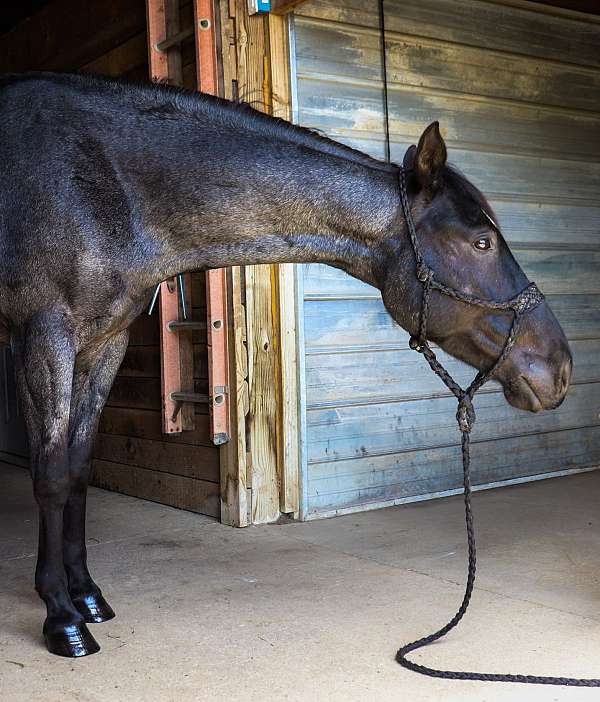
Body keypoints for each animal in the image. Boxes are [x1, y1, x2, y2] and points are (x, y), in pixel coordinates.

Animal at [0, 72, 572, 658]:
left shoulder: (105, 341)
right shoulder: (44, 335)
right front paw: (62, 617)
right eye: (481, 242)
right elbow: (52, 475)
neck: (100, 187)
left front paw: (87, 595)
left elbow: (78, 468)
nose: (560, 368)